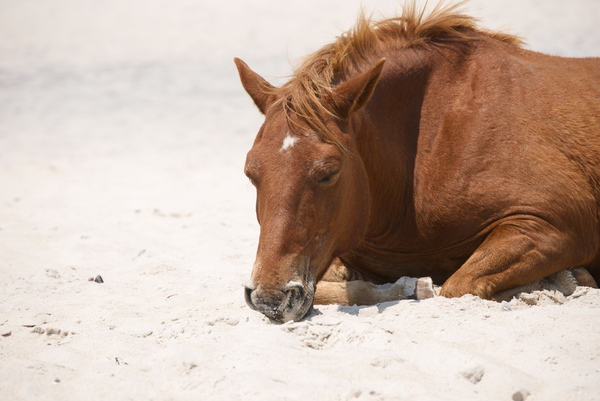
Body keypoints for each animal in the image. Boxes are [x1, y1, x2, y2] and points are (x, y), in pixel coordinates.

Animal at [234, 2, 600, 322]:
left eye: (328, 173)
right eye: (251, 174)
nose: (271, 298)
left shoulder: (553, 224)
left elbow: (458, 285)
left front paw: (560, 279)